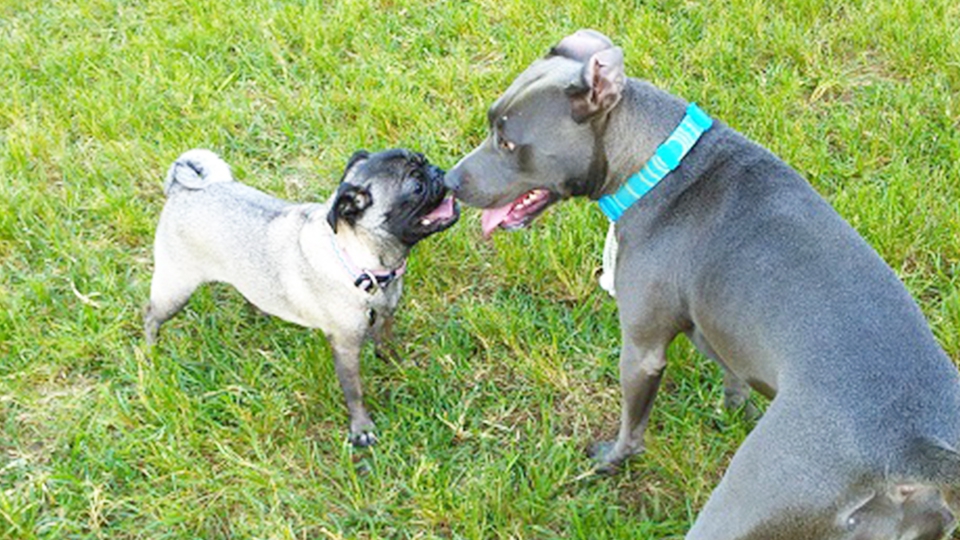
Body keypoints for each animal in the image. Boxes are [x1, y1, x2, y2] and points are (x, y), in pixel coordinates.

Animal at [144, 148, 460, 448]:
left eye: (424, 161)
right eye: (416, 186)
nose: (437, 172)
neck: (361, 264)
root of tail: (182, 190)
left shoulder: (384, 319)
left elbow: (387, 348)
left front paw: (399, 367)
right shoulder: (345, 347)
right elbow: (354, 391)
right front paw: (361, 429)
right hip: (176, 289)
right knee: (150, 316)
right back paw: (150, 352)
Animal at [448, 30, 960, 540]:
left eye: (508, 143)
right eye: (492, 123)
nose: (449, 181)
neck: (657, 165)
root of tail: (915, 456)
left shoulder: (643, 349)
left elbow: (632, 426)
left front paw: (610, 461)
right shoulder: (719, 329)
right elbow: (734, 379)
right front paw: (733, 413)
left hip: (744, 505)